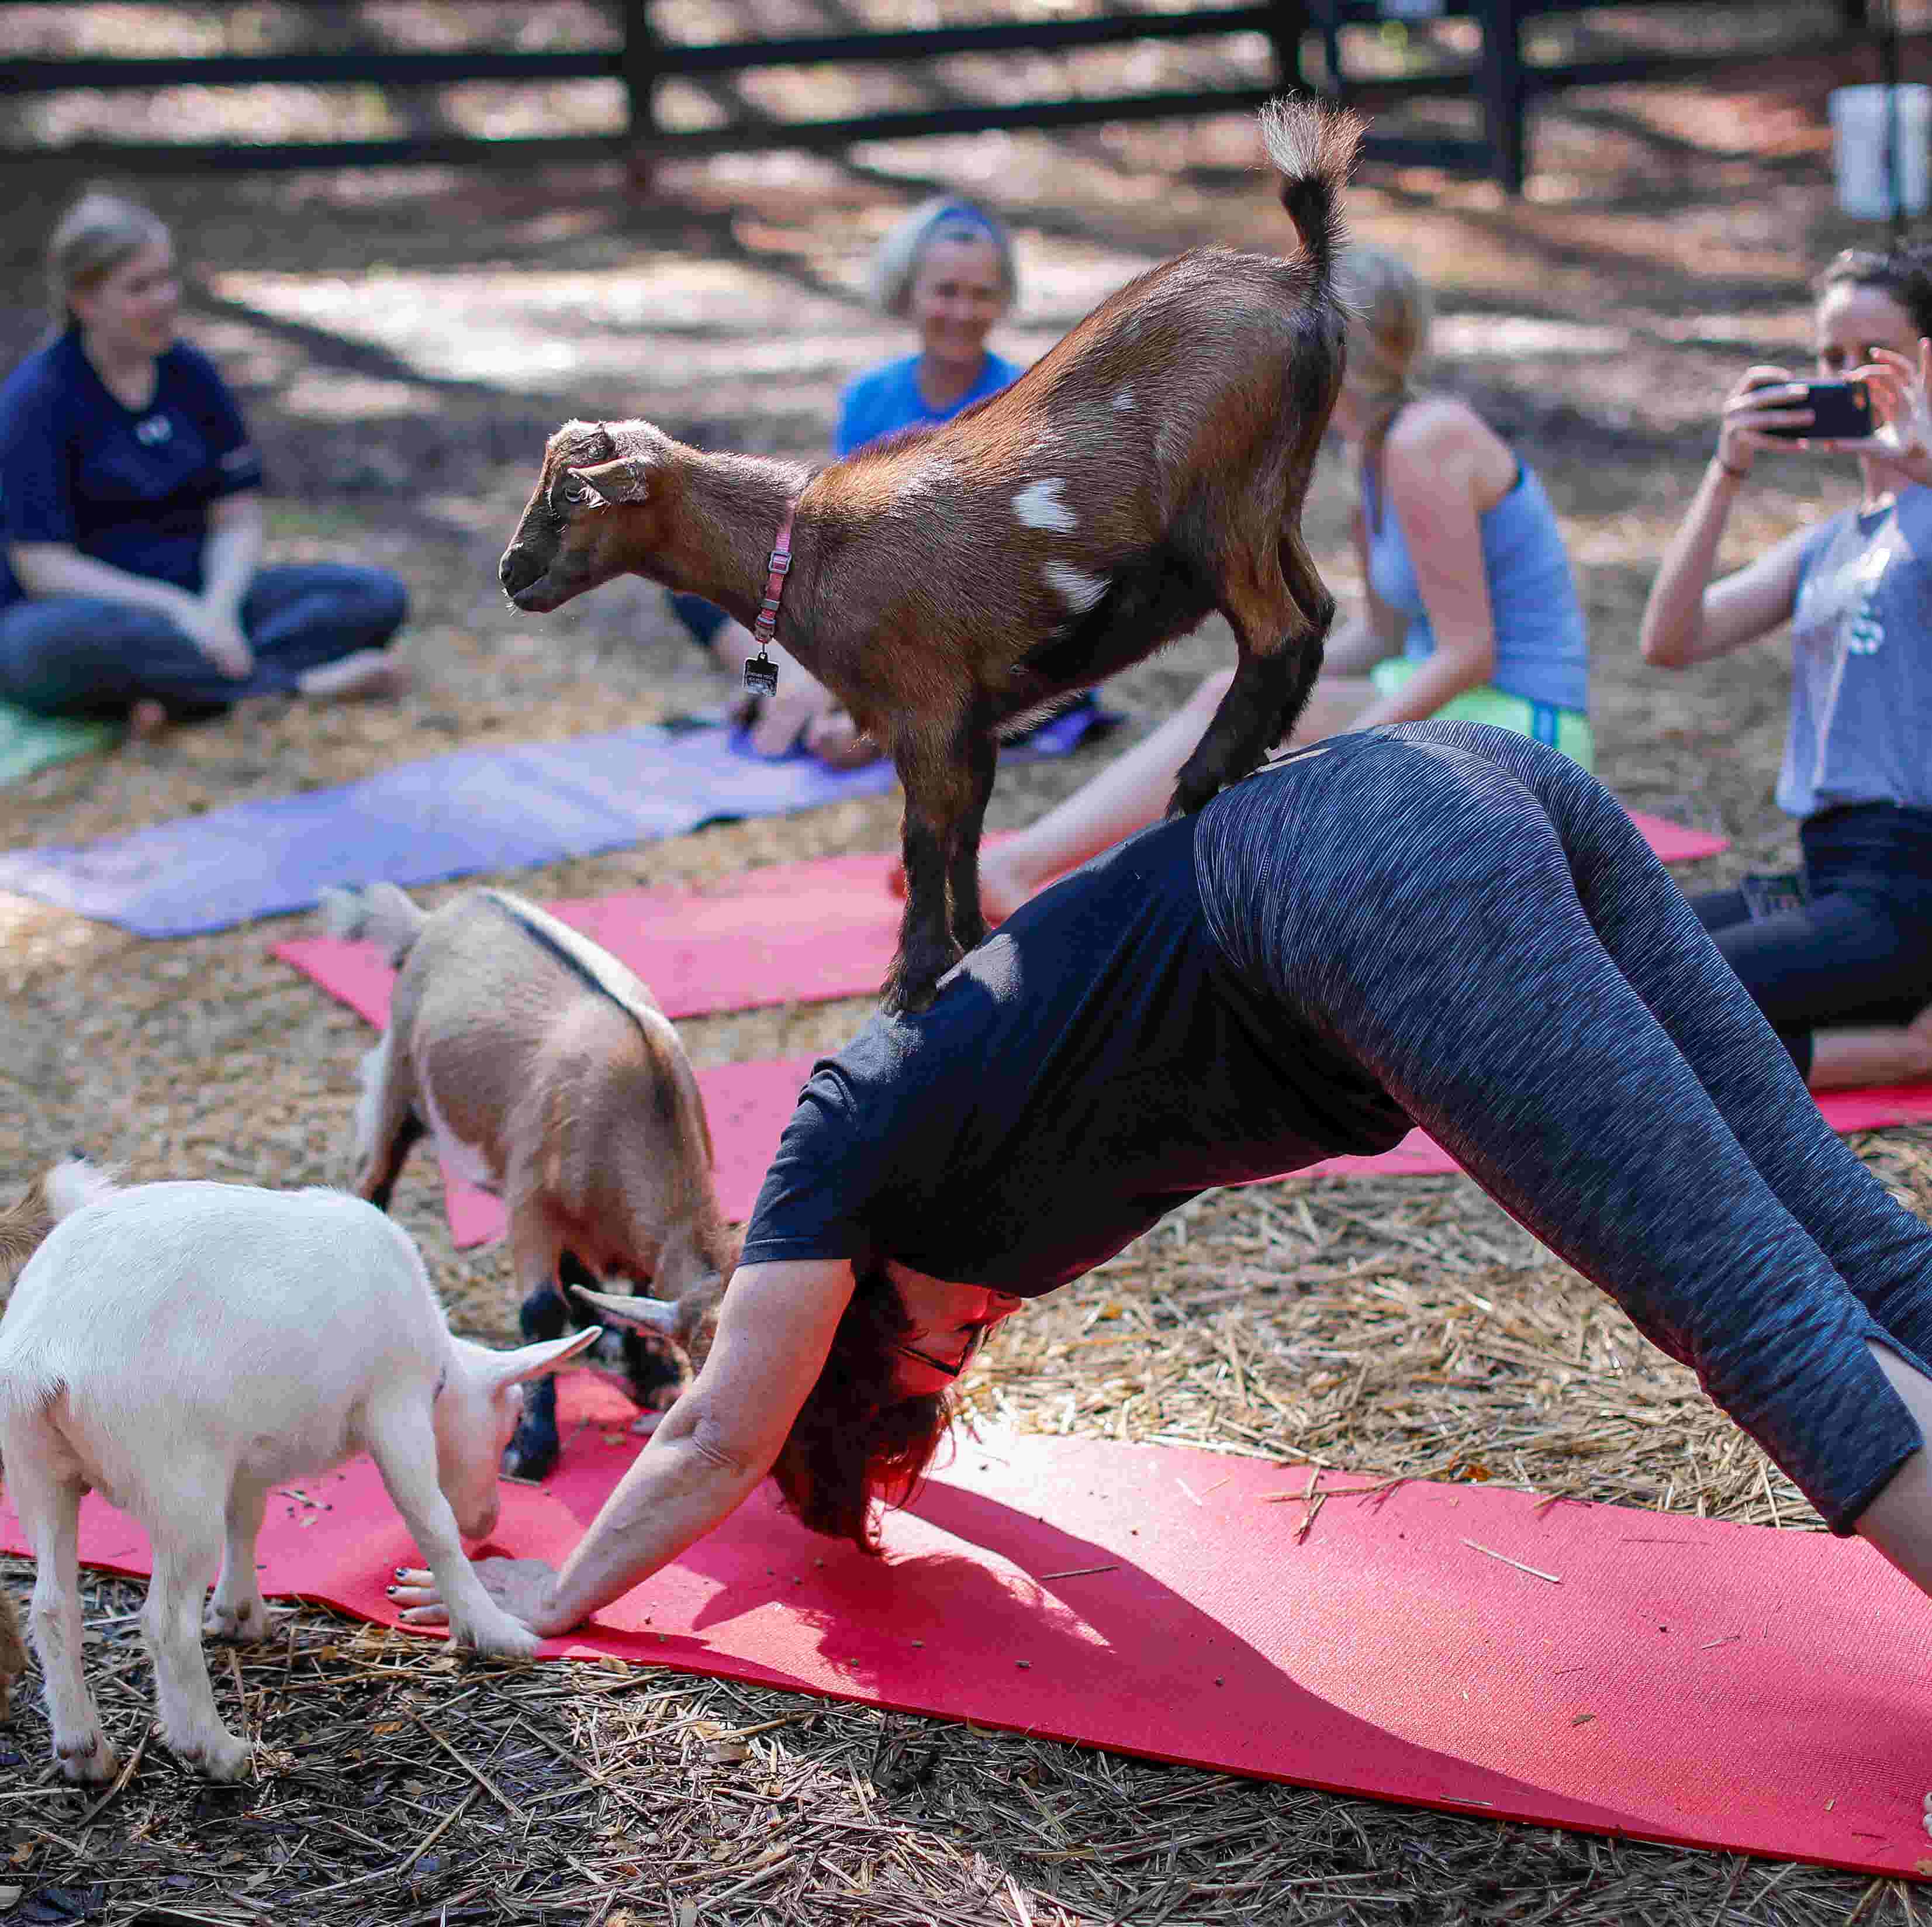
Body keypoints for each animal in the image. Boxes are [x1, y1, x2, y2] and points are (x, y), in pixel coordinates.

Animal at [506, 97, 1367, 1013]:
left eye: (573, 497)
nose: (511, 573)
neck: (802, 550)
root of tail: (1302, 274)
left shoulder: (920, 710)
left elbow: (921, 837)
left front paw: (912, 979)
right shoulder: (974, 723)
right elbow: (964, 837)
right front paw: (971, 940)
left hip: (1223, 506)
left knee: (1276, 629)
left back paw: (1200, 781)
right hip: (1281, 495)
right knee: (1317, 611)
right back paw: (1261, 750)